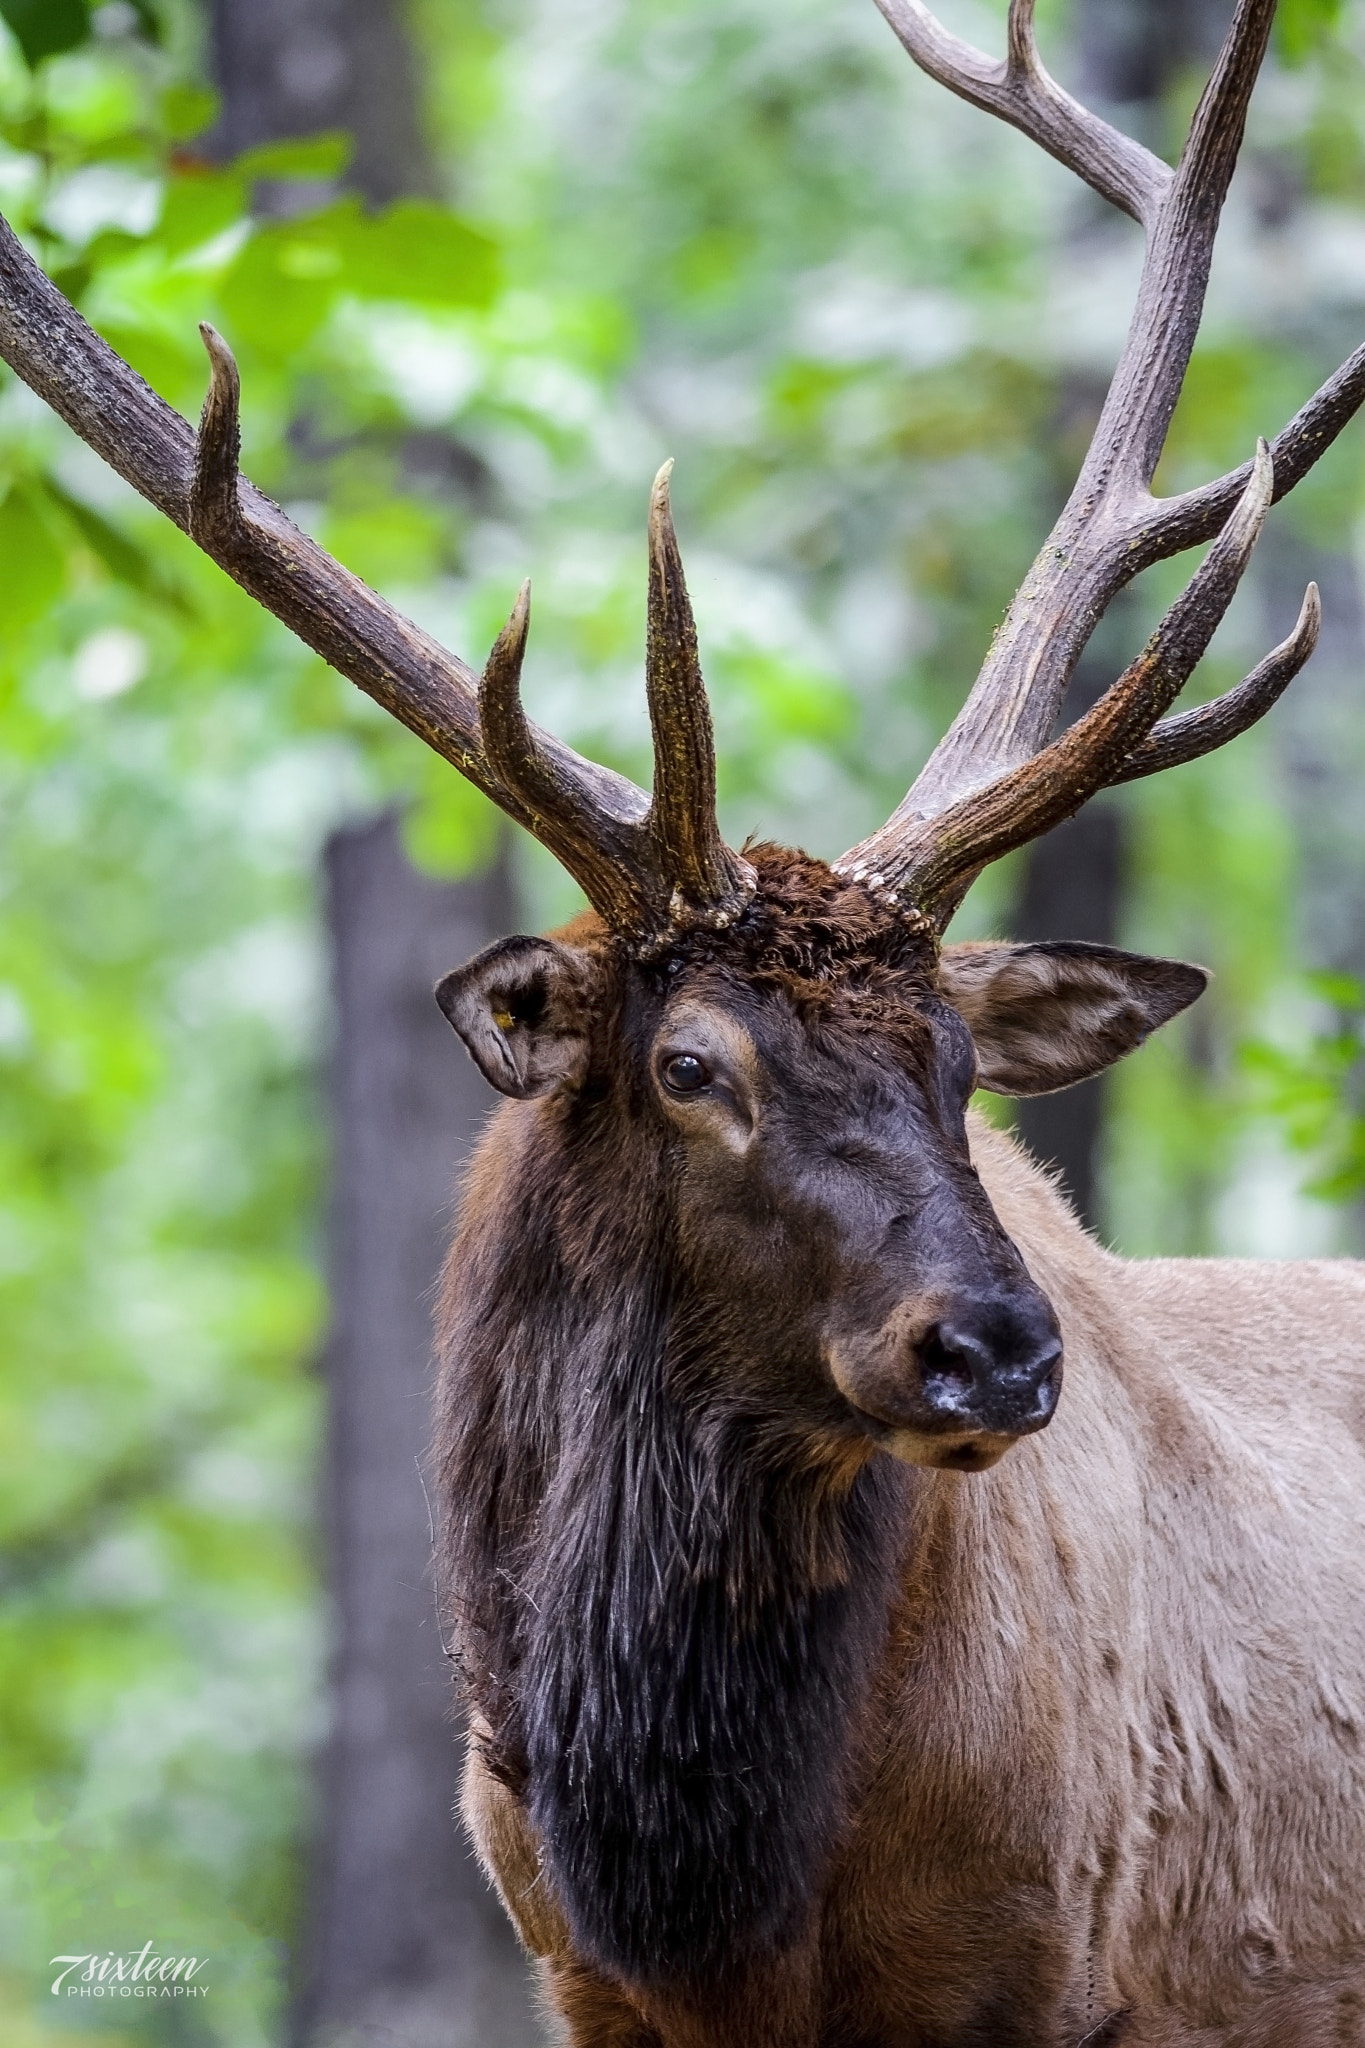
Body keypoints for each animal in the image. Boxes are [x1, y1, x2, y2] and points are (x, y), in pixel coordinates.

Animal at [2, 0, 1365, 2039]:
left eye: (961, 1065)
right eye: (689, 1064)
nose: (995, 1352)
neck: (717, 1904)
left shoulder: (1057, 1968)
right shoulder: (573, 1979)